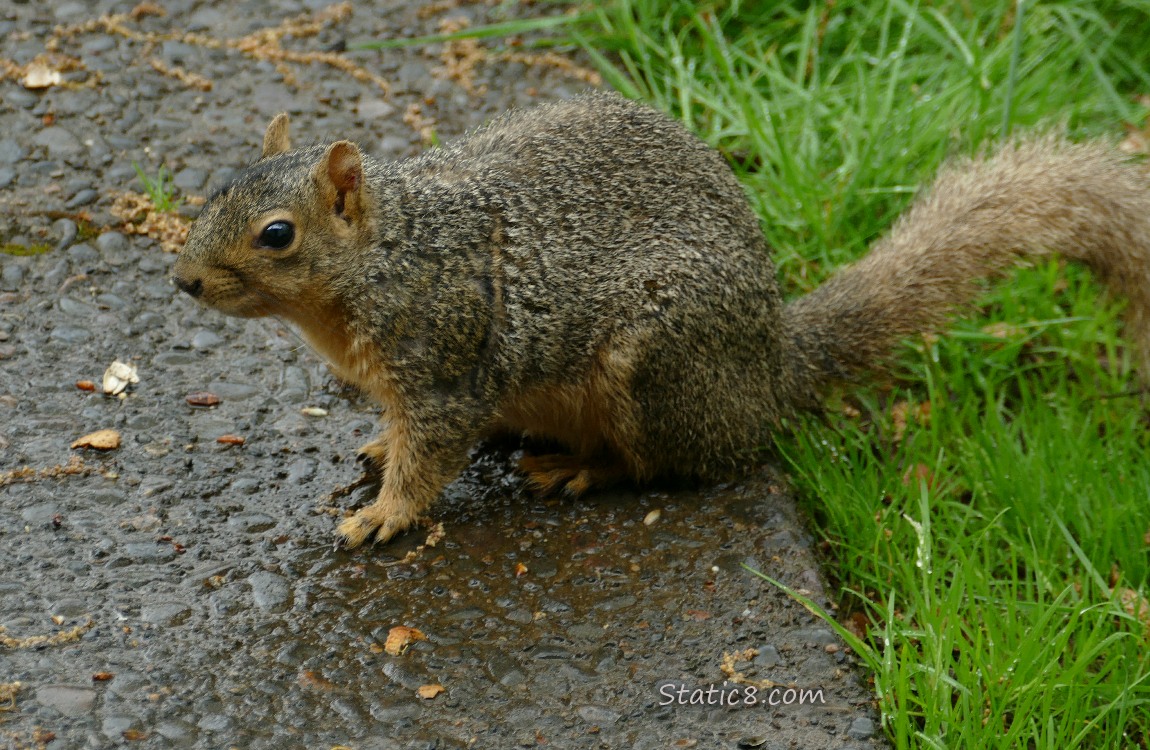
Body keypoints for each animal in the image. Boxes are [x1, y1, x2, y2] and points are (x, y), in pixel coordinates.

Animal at [167, 92, 1150, 549]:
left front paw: (386, 514)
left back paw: (579, 469)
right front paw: (377, 446)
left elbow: (433, 448)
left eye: (277, 234)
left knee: (671, 465)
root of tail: (771, 365)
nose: (182, 280)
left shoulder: (446, 358)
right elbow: (403, 431)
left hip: (654, 370)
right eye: (213, 189)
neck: (387, 253)